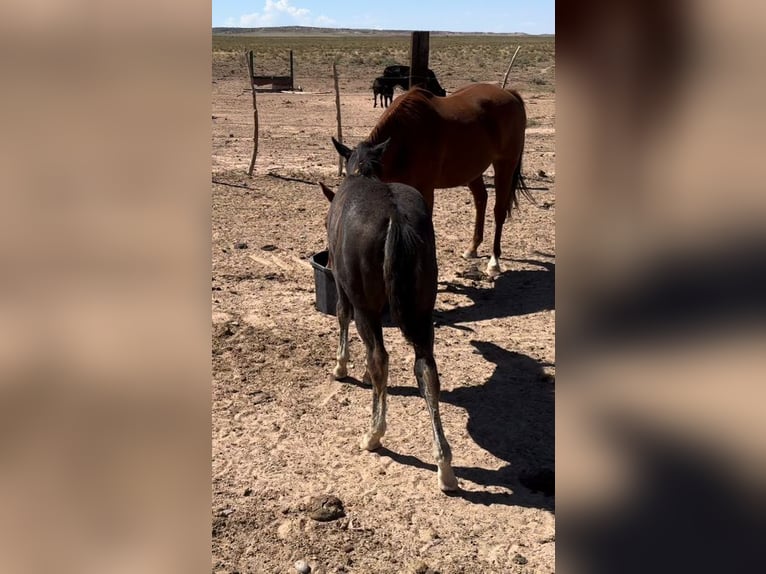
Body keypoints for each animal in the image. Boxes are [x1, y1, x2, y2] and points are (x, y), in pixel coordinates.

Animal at [320, 137, 462, 492]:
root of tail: (394, 216)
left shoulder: (342, 285)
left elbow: (341, 315)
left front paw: (341, 367)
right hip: (423, 311)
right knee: (426, 370)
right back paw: (445, 467)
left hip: (367, 307)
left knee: (379, 358)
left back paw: (374, 435)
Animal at [356, 82, 532, 278]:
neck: (406, 137)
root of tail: (510, 93)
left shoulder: (425, 190)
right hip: (472, 170)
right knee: (481, 199)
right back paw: (472, 248)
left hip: (505, 165)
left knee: (499, 210)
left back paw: (494, 262)